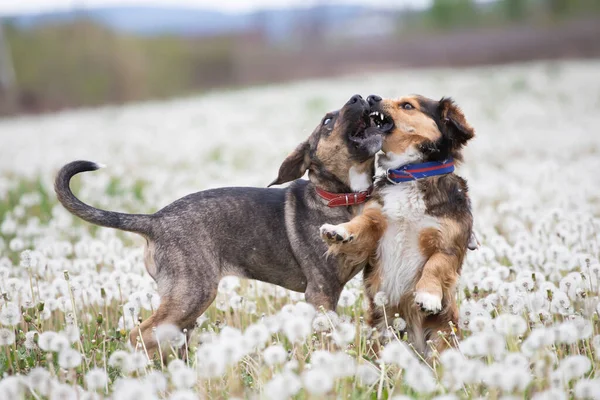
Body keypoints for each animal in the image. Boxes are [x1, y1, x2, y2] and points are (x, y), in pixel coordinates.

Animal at [318, 94, 474, 356]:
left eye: (408, 105)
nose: (372, 97)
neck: (410, 175)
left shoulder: (449, 245)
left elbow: (435, 265)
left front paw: (428, 295)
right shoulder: (375, 223)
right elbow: (359, 224)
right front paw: (339, 231)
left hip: (441, 338)